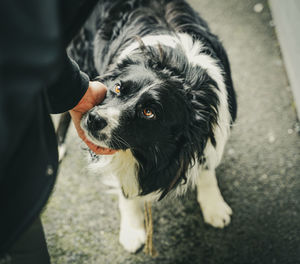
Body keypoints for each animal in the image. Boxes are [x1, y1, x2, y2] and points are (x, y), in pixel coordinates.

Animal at [65, 0, 237, 254]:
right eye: (117, 88)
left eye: (149, 112)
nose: (95, 119)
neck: (179, 69)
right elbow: (126, 188)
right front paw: (132, 229)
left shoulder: (209, 128)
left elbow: (206, 166)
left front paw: (213, 205)